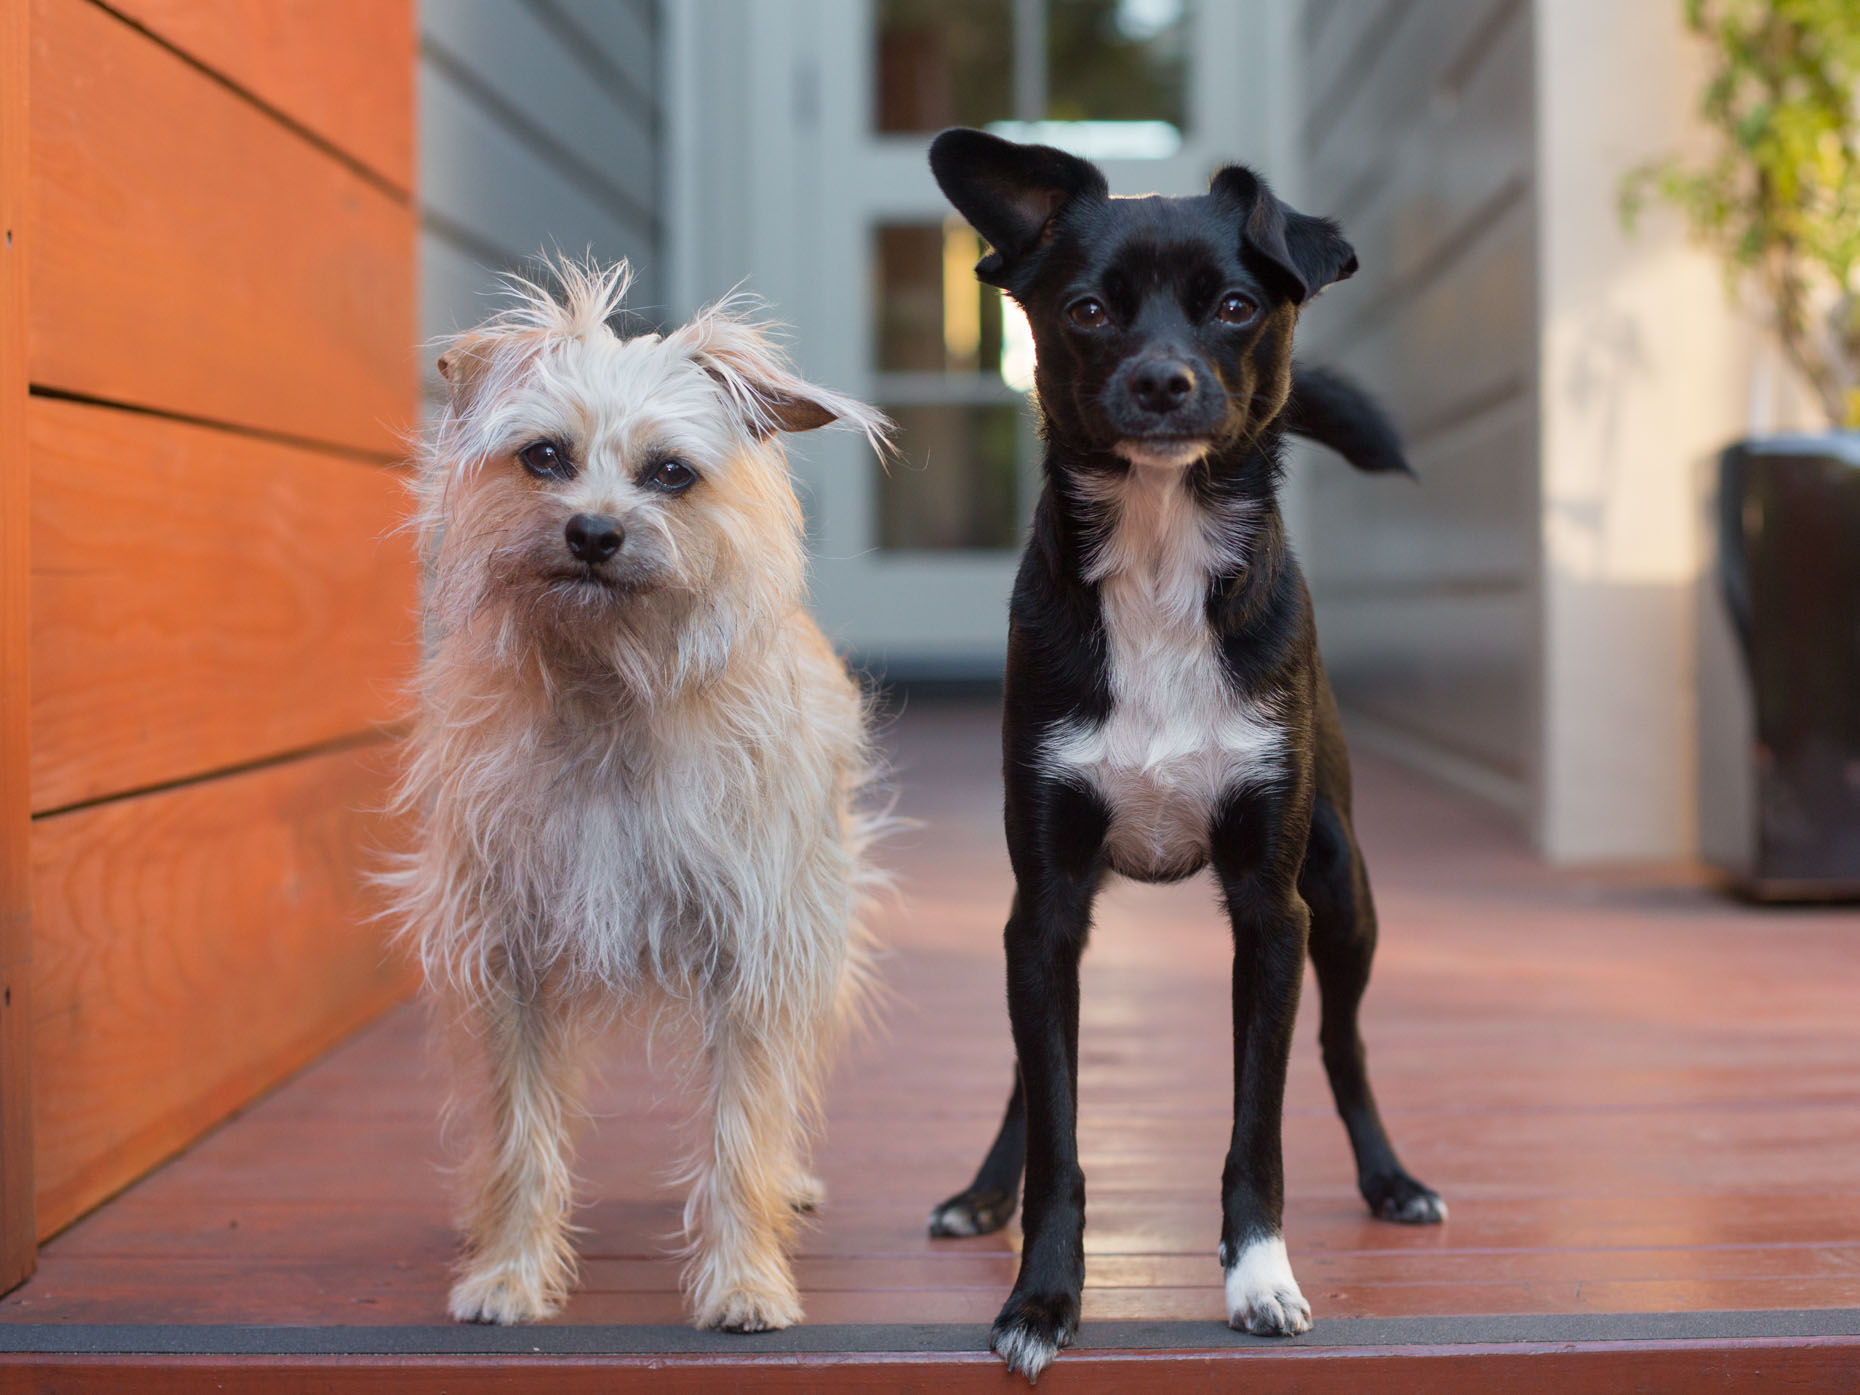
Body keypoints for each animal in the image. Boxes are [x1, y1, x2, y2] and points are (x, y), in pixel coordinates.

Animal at [388, 260, 889, 1331]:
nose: (593, 531)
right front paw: (510, 1268)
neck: (609, 685)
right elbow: (518, 1132)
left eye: (670, 473)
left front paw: (744, 1278)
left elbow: (741, 1133)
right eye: (543, 457)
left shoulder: (758, 958)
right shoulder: (507, 960)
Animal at [922, 133, 1443, 1391]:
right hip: (1048, 928)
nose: (1163, 382)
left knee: (1343, 1044)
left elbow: (1259, 1125)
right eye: (1089, 310)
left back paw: (1392, 1179)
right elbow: (1059, 1121)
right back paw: (983, 1191)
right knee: (1030, 1069)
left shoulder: (1273, 911)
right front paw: (1043, 1295)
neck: (1160, 560)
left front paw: (1259, 1277)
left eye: (1237, 307)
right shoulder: (1045, 904)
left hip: (1344, 897)